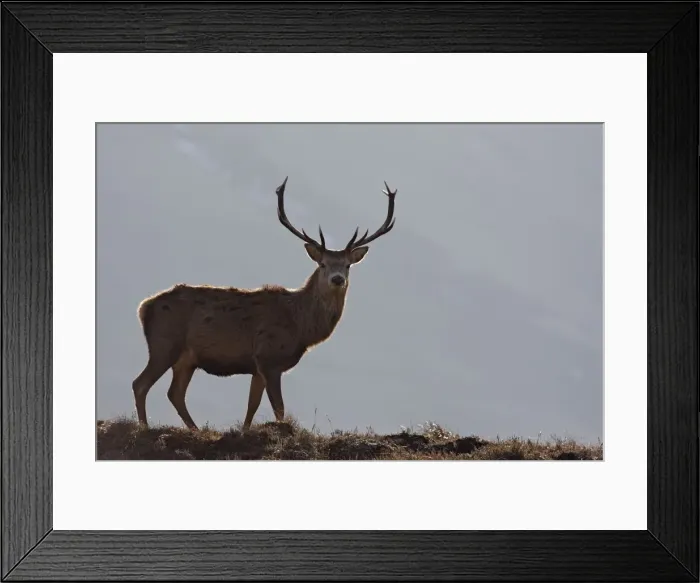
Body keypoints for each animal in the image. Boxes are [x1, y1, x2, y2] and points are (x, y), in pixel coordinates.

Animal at [131, 176, 397, 431]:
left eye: (347, 265)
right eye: (322, 264)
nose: (338, 279)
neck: (301, 327)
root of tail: (144, 307)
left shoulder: (256, 366)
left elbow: (252, 405)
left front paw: (244, 431)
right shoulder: (268, 356)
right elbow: (278, 408)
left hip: (187, 358)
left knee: (174, 393)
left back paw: (195, 429)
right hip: (164, 343)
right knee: (140, 384)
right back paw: (145, 427)